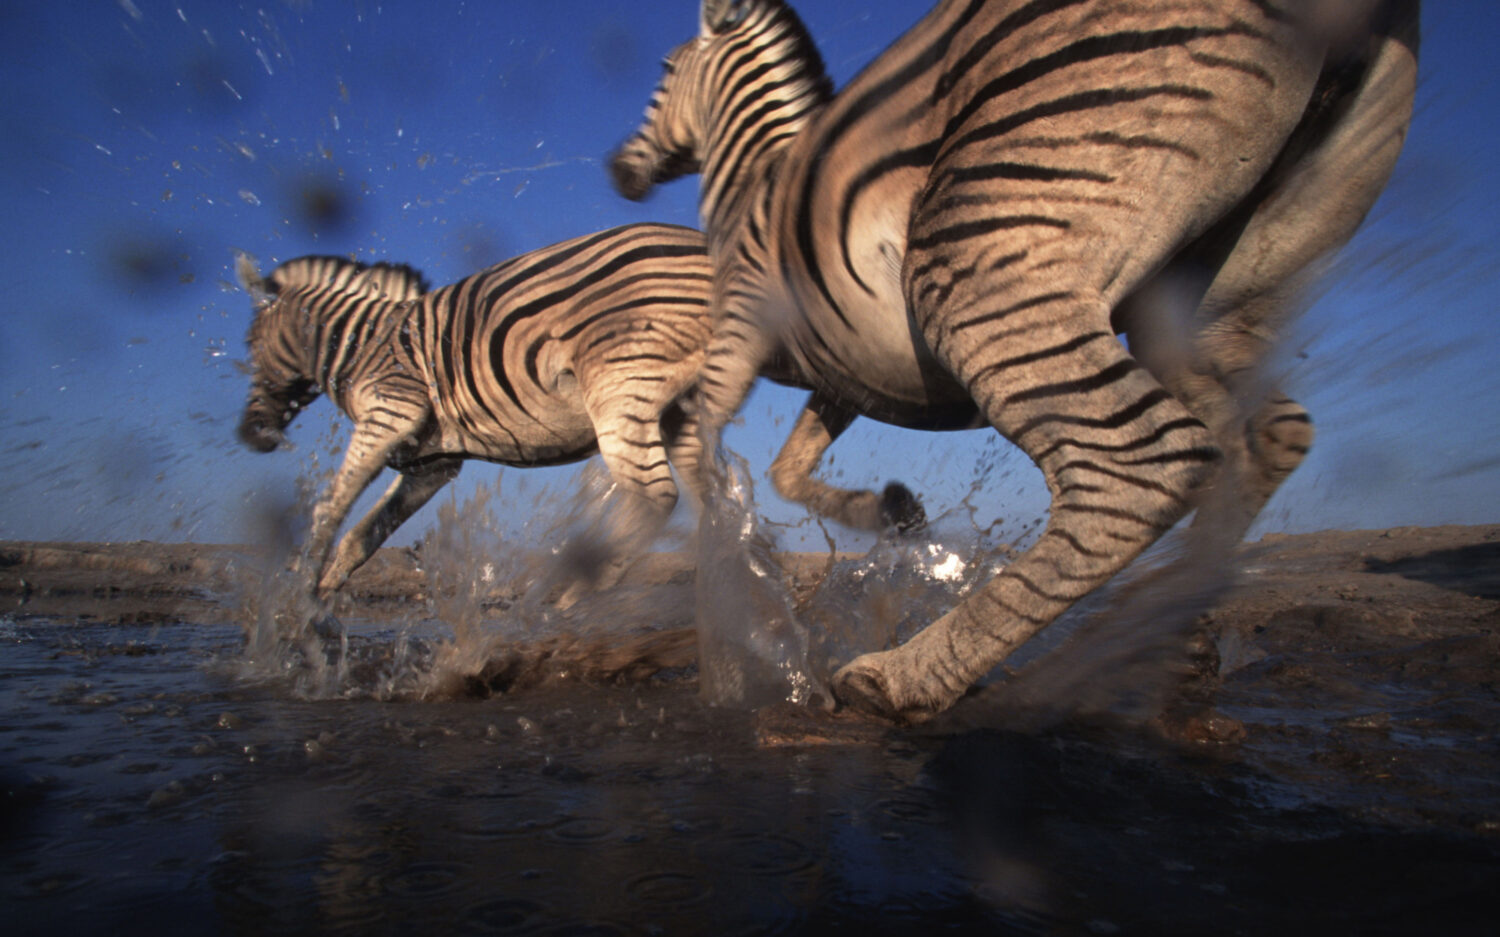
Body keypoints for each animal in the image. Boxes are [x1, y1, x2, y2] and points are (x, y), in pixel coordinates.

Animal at [237, 223, 721, 612]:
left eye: (250, 344)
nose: (250, 435)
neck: (358, 342)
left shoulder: (390, 412)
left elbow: (330, 508)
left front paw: (295, 601)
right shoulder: (430, 464)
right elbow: (364, 535)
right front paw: (318, 599)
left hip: (619, 385)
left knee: (656, 497)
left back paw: (567, 602)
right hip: (682, 408)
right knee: (710, 501)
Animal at [610, 0, 1419, 721]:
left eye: (665, 71)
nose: (620, 170)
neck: (755, 179)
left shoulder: (745, 330)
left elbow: (699, 437)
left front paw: (735, 610)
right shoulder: (843, 375)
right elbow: (786, 466)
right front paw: (890, 510)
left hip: (982, 255)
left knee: (1142, 464)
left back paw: (908, 678)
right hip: (1209, 301)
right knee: (1261, 436)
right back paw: (1158, 636)